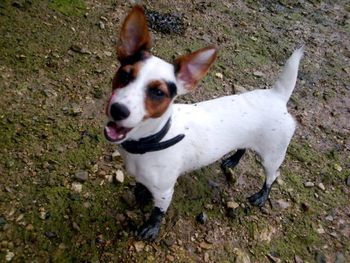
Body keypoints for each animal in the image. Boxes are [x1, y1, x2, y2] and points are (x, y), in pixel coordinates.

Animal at [103, 5, 304, 241]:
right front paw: (141, 194)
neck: (154, 139)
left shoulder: (164, 192)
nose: (118, 110)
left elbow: (157, 213)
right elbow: (141, 187)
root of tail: (277, 95)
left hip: (272, 156)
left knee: (272, 177)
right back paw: (232, 161)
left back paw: (261, 196)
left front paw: (151, 227)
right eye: (125, 75)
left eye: (158, 92)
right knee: (243, 147)